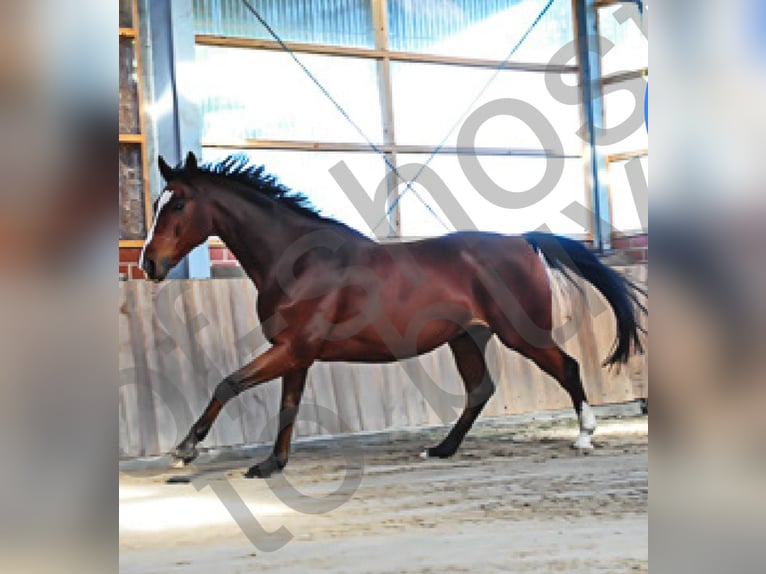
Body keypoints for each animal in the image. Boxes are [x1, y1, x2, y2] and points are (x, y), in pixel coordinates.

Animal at [140, 151, 646, 478]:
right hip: (467, 337)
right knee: (479, 390)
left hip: (520, 333)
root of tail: (522, 240)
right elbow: (287, 407)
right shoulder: (295, 354)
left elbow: (228, 384)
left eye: (178, 203)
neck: (299, 260)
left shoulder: (293, 349)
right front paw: (269, 465)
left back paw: (584, 437)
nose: (149, 264)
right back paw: (440, 450)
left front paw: (184, 450)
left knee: (568, 367)